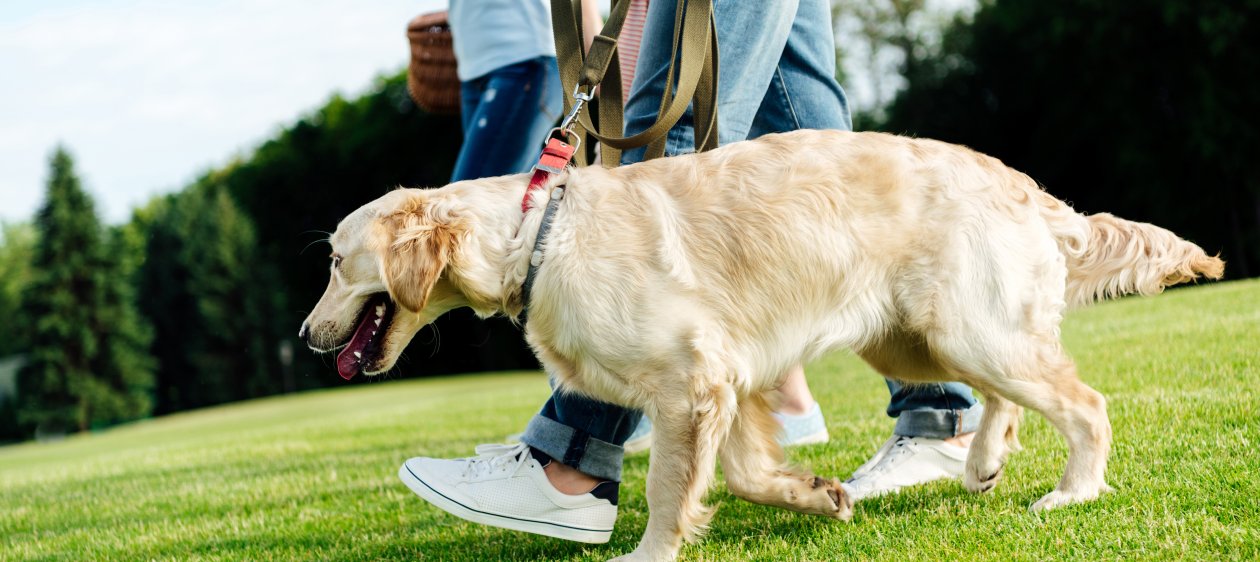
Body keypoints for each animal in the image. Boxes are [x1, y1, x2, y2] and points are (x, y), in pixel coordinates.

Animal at [299, 129, 1224, 559]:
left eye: (340, 263)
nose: (308, 337)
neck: (536, 235)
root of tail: (1026, 187)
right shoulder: (728, 381)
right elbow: (745, 474)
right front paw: (818, 495)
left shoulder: (689, 381)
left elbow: (670, 490)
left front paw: (649, 553)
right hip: (923, 338)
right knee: (1004, 396)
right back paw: (984, 460)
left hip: (968, 327)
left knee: (1085, 404)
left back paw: (1073, 491)